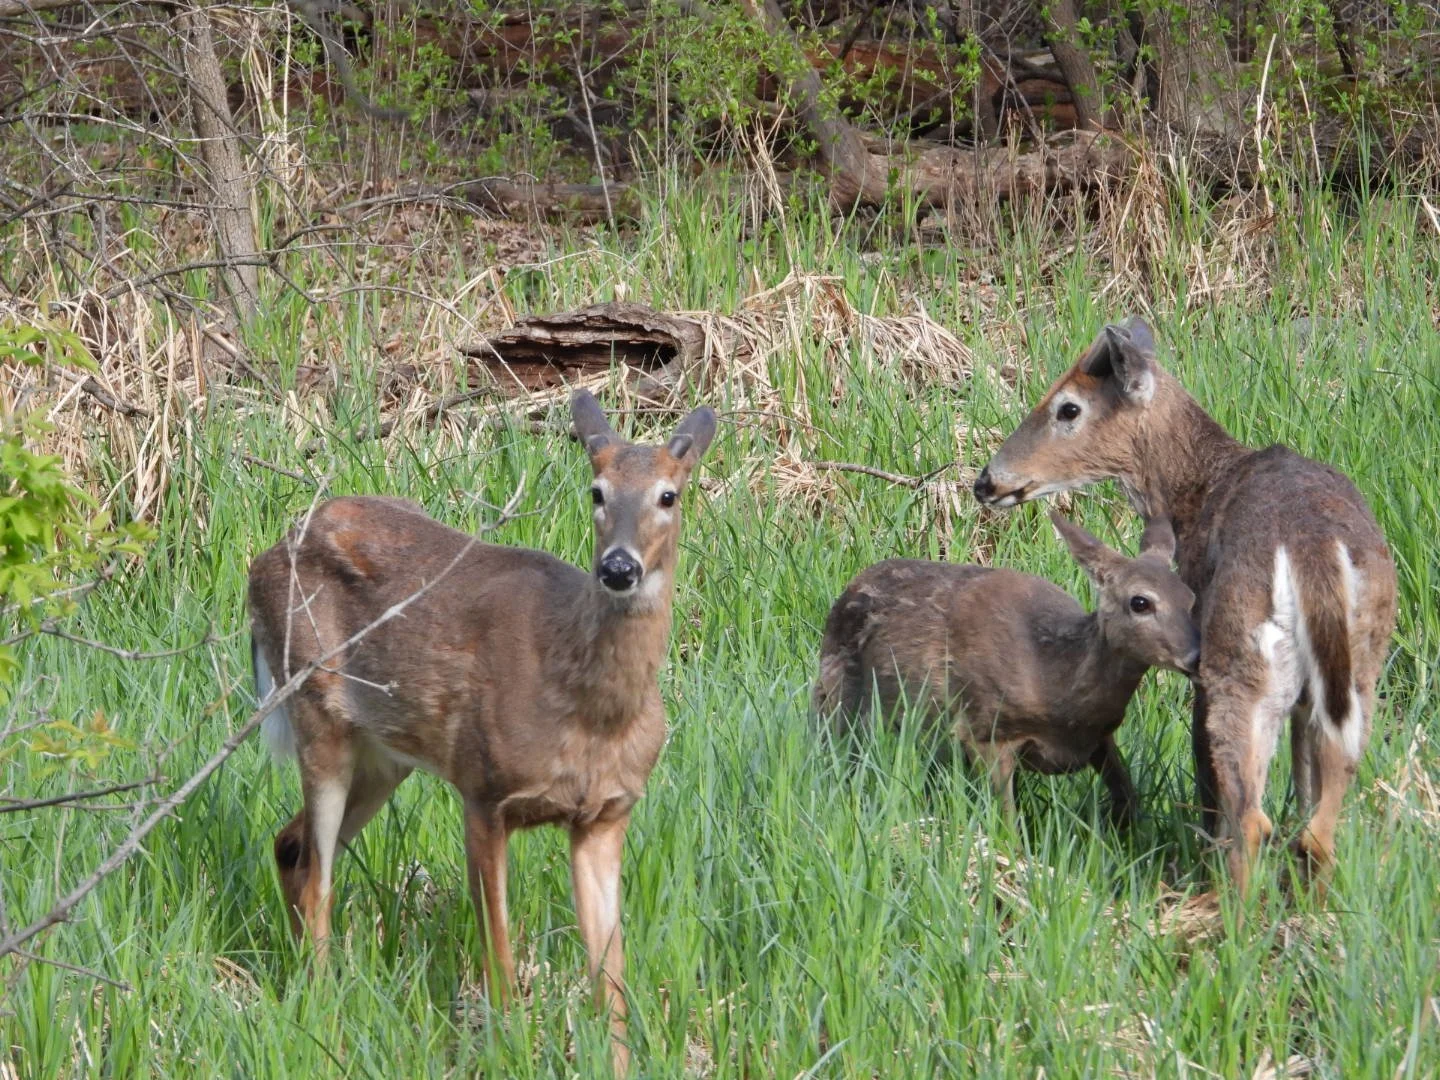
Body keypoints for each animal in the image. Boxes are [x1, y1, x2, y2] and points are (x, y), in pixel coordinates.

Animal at [247, 390, 717, 1076]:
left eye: (668, 495)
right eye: (596, 491)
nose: (618, 568)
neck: (592, 713)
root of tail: (261, 562)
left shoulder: (606, 814)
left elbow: (611, 978)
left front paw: (617, 1061)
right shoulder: (483, 790)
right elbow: (499, 955)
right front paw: (506, 1051)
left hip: (385, 756)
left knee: (290, 845)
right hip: (317, 712)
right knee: (317, 881)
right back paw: (325, 1022)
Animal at [813, 509, 1200, 823]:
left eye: (1191, 597)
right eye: (1140, 602)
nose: (1195, 656)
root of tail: (849, 587)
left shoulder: (1101, 737)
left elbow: (1129, 799)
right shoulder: (985, 731)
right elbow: (1007, 823)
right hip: (836, 700)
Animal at [973, 317, 1397, 899]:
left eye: (1068, 408)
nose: (986, 481)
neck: (1196, 490)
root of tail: (1314, 550)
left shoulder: (1196, 661)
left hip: (1239, 657)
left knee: (1251, 814)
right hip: (1358, 664)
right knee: (1322, 812)